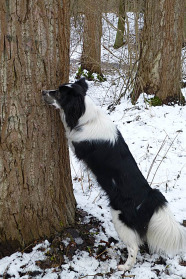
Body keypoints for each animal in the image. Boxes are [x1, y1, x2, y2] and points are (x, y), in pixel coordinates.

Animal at [42, 78, 186, 272]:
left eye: (58, 93)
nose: (43, 92)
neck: (88, 119)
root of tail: (150, 197)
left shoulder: (76, 144)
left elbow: (68, 133)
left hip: (120, 219)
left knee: (134, 247)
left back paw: (124, 267)